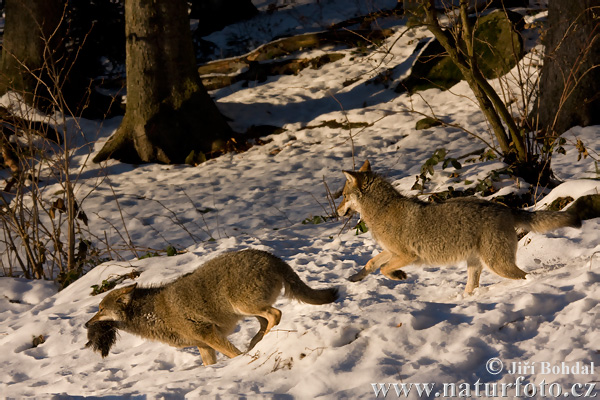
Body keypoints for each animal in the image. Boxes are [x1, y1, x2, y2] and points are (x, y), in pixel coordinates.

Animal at [84, 250, 338, 366]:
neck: (152, 314)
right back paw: (258, 341)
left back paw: (261, 342)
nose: (86, 324)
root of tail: (271, 255)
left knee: (275, 314)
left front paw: (242, 361)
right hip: (249, 310)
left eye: (100, 309)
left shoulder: (208, 334)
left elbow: (234, 354)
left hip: (244, 306)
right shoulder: (203, 346)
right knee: (267, 320)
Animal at [336, 159, 580, 294]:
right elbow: (371, 263)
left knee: (525, 276)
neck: (382, 209)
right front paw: (355, 278)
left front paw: (399, 276)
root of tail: (504, 208)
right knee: (471, 289)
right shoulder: (390, 251)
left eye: (344, 196)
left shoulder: (408, 256)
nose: (337, 212)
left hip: (497, 265)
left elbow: (384, 269)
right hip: (477, 265)